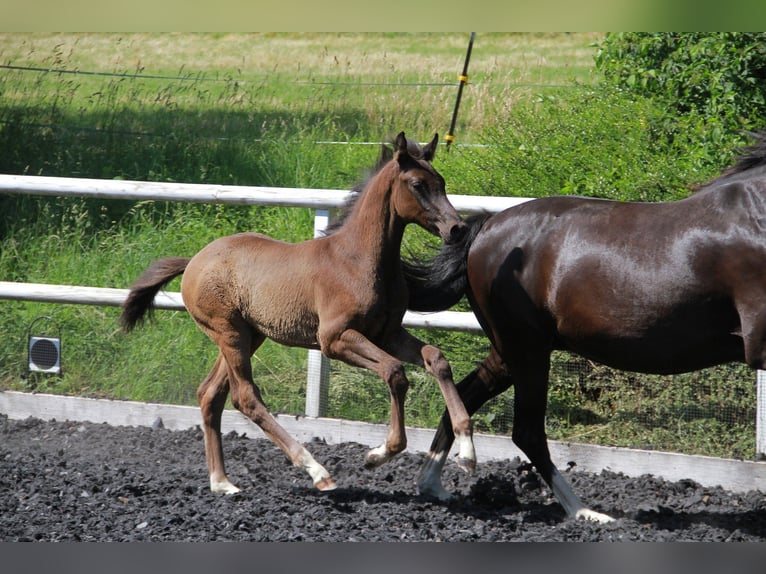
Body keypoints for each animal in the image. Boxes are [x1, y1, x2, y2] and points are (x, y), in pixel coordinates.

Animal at [120, 132, 476, 495]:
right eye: (418, 184)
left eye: (441, 182)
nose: (457, 229)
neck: (358, 260)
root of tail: (193, 261)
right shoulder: (334, 339)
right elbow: (394, 372)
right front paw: (379, 453)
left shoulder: (387, 333)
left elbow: (436, 359)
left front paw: (466, 451)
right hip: (229, 332)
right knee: (245, 397)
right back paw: (316, 471)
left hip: (248, 336)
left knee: (210, 394)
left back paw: (221, 482)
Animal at [403, 131, 766, 523]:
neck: (755, 216)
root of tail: (485, 227)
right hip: (527, 350)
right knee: (527, 431)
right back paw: (585, 512)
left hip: (509, 352)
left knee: (468, 395)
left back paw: (434, 481)